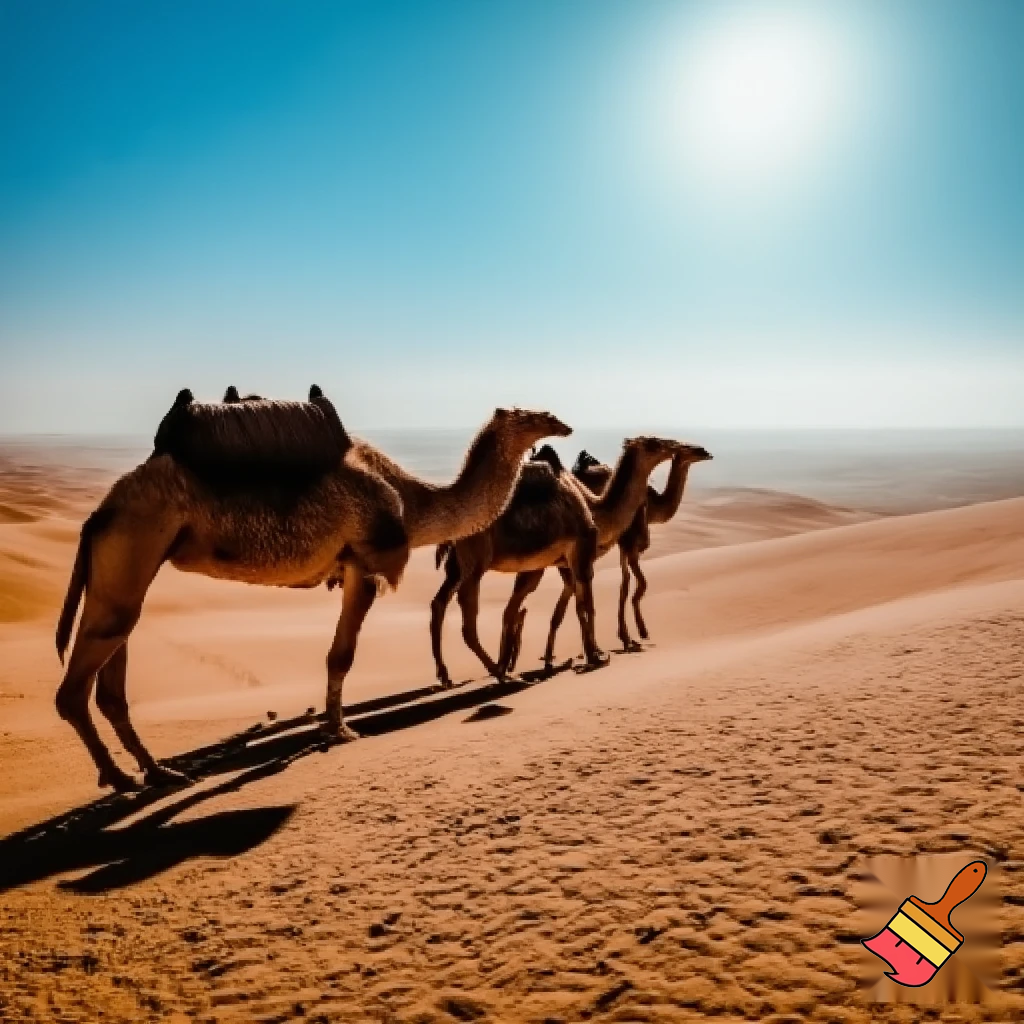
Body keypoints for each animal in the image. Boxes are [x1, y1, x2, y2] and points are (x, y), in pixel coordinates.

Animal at [56, 389, 570, 792]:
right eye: (530, 414)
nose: (562, 422)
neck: (414, 500)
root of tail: (99, 514)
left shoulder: (349, 568)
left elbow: (336, 654)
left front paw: (329, 727)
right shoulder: (366, 563)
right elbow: (341, 655)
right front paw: (340, 731)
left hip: (123, 570)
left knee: (112, 675)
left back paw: (158, 772)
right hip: (134, 544)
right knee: (76, 688)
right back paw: (121, 778)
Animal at [430, 437, 684, 689]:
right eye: (654, 443)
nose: (677, 447)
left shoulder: (564, 562)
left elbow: (573, 607)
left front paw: (586, 654)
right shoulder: (581, 552)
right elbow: (587, 606)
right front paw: (595, 656)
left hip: (457, 565)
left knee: (441, 603)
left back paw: (451, 675)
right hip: (475, 560)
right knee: (468, 619)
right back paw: (502, 674)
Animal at [501, 442, 712, 674]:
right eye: (687, 451)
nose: (704, 451)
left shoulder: (614, 547)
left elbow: (624, 585)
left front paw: (622, 639)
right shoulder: (630, 542)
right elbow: (634, 585)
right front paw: (634, 635)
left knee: (547, 600)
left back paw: (534, 660)